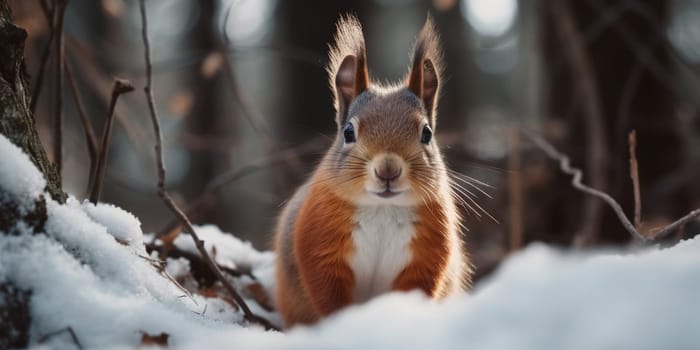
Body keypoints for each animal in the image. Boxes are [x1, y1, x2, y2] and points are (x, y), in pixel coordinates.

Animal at [274, 14, 470, 328]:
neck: (383, 209)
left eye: (427, 133)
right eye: (348, 132)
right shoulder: (319, 240)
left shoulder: (428, 251)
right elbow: (326, 292)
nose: (388, 170)